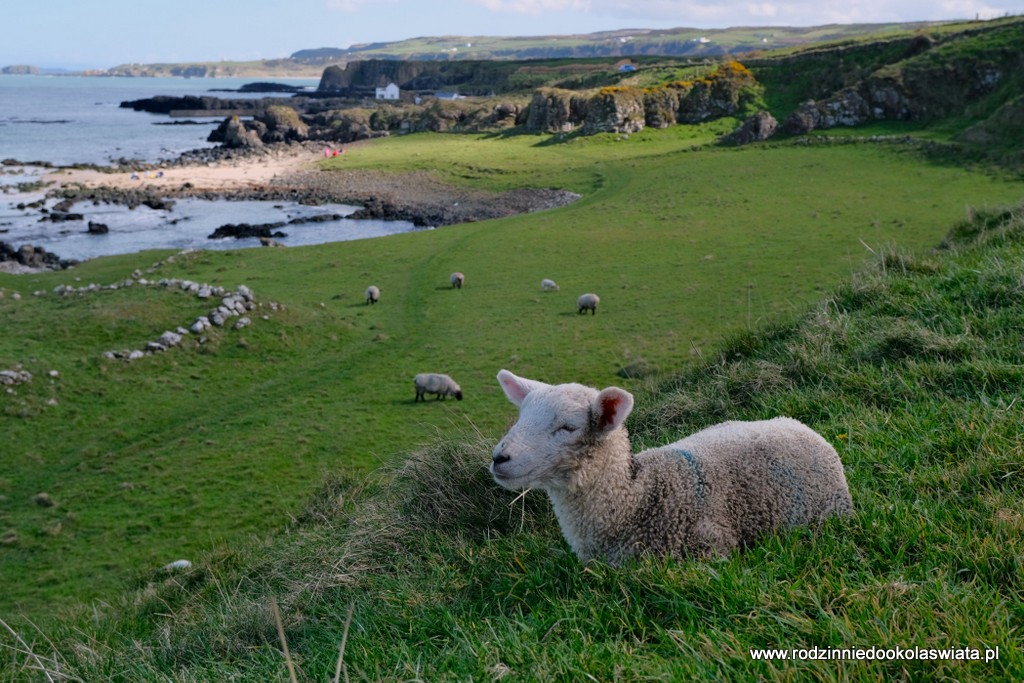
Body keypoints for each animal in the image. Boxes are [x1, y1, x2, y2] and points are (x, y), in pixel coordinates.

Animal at [491, 370, 851, 565]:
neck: (638, 498)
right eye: (521, 417)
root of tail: (801, 425)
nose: (499, 458)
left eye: (568, 427)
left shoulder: (712, 547)